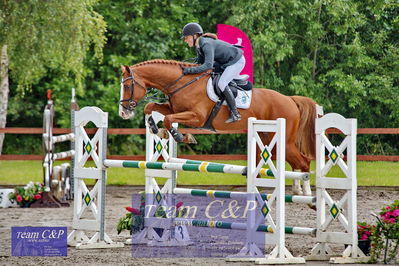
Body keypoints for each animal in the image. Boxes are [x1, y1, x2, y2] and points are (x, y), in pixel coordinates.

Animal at [119, 59, 318, 195]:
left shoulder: (197, 117)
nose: (123, 112)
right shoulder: (173, 108)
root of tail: (290, 99)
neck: (182, 83)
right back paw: (298, 190)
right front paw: (157, 130)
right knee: (296, 162)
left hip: (283, 141)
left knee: (303, 161)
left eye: (127, 86)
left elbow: (168, 119)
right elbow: (150, 107)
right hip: (269, 139)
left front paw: (181, 136)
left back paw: (307, 194)